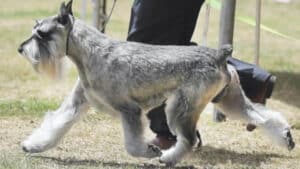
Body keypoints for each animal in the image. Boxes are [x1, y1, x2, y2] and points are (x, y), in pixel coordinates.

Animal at [18, 0, 296, 166]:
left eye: (41, 34)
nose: (21, 49)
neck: (90, 52)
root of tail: (220, 55)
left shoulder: (129, 110)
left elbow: (132, 143)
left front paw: (148, 151)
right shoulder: (77, 103)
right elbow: (57, 124)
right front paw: (34, 144)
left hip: (181, 108)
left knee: (188, 139)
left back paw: (168, 158)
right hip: (229, 100)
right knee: (264, 116)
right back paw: (286, 138)